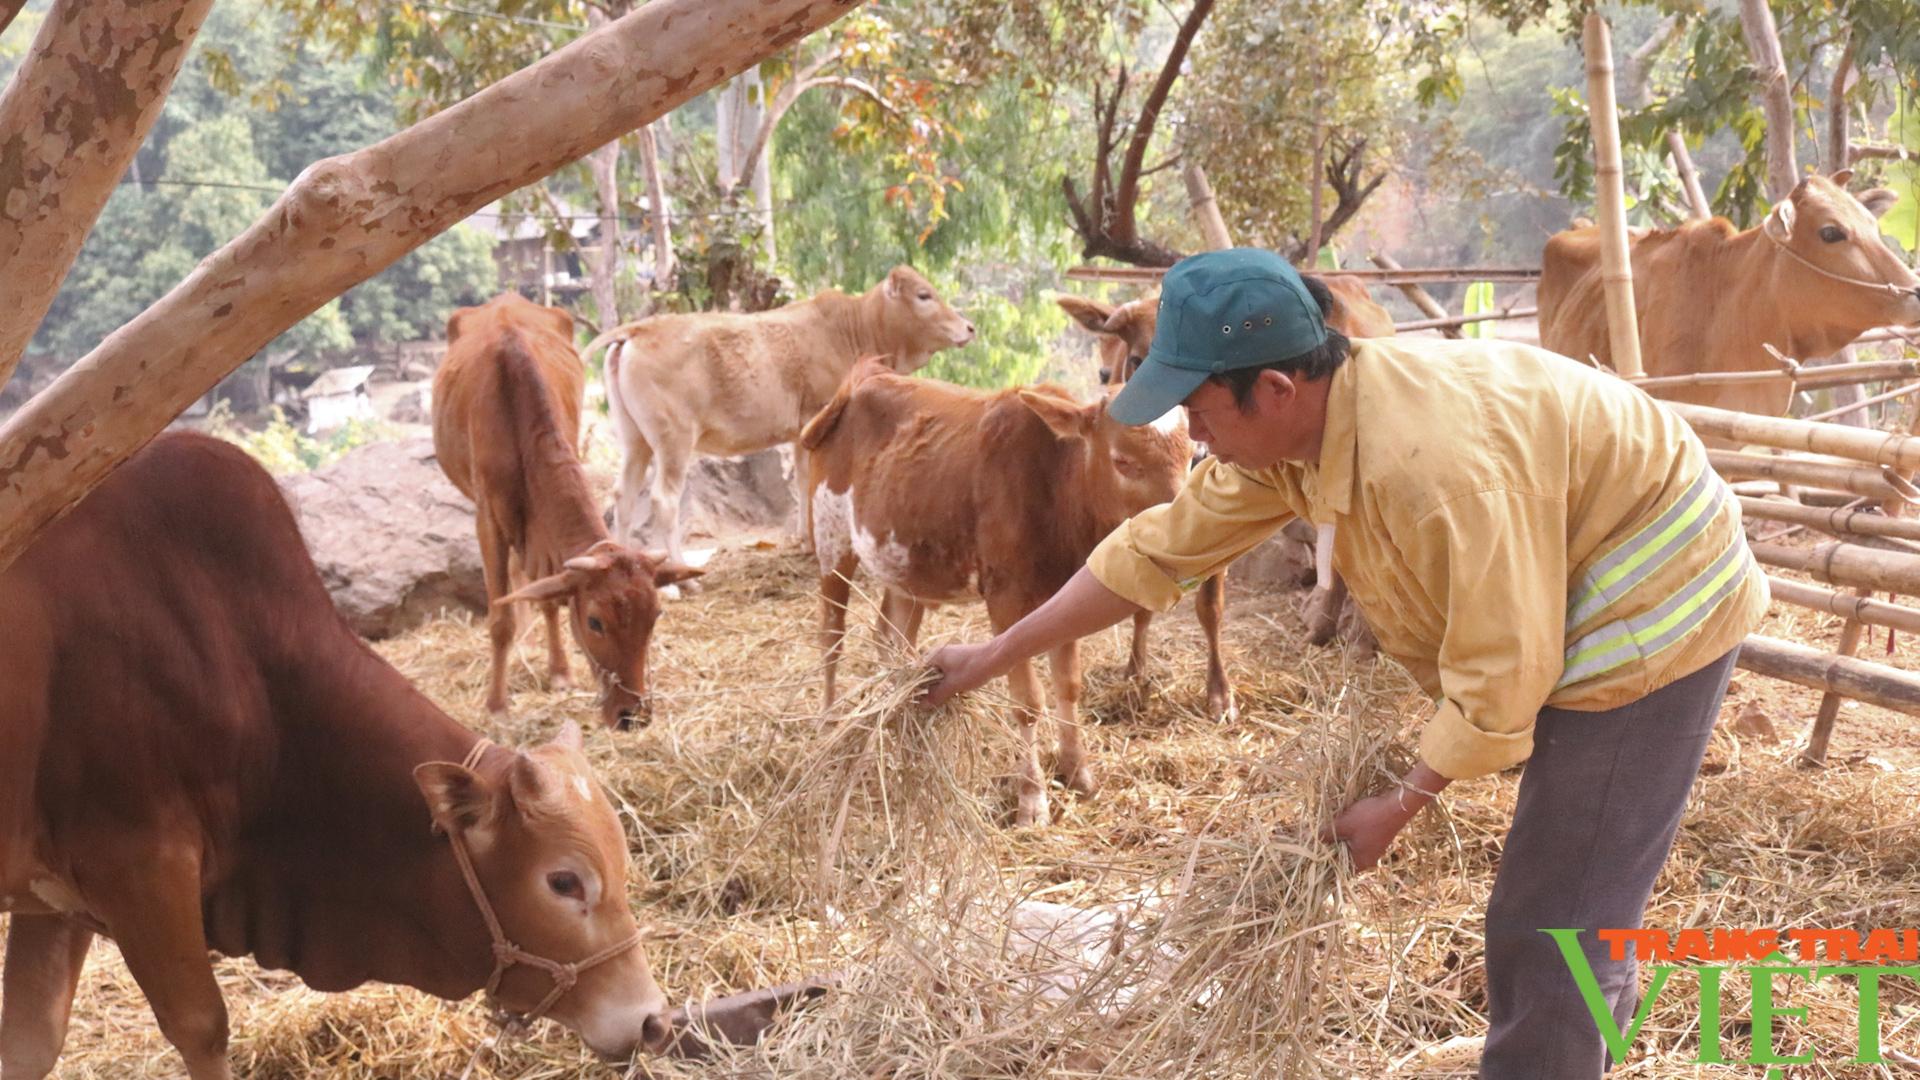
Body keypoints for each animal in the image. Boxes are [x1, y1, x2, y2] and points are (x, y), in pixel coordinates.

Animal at [437, 290, 706, 726]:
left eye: (656, 615)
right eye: (595, 621)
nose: (631, 715)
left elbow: (548, 596)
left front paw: (560, 672)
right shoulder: (487, 521)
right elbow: (500, 617)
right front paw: (496, 705)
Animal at [579, 265, 975, 564]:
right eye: (923, 295)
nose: (969, 327)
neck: (854, 328)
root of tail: (640, 328)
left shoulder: (801, 432)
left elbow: (801, 480)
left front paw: (805, 540)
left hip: (635, 442)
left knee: (624, 497)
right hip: (673, 441)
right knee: (663, 501)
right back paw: (684, 575)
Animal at [802, 361, 1190, 822]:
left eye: (1193, 455)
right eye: (1123, 461)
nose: (1176, 521)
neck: (1054, 485)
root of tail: (867, 377)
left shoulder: (1063, 591)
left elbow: (1068, 685)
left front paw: (1077, 772)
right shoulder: (1005, 598)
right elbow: (1027, 700)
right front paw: (1032, 798)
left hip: (905, 562)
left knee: (890, 637)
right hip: (831, 540)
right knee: (831, 636)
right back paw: (828, 726)